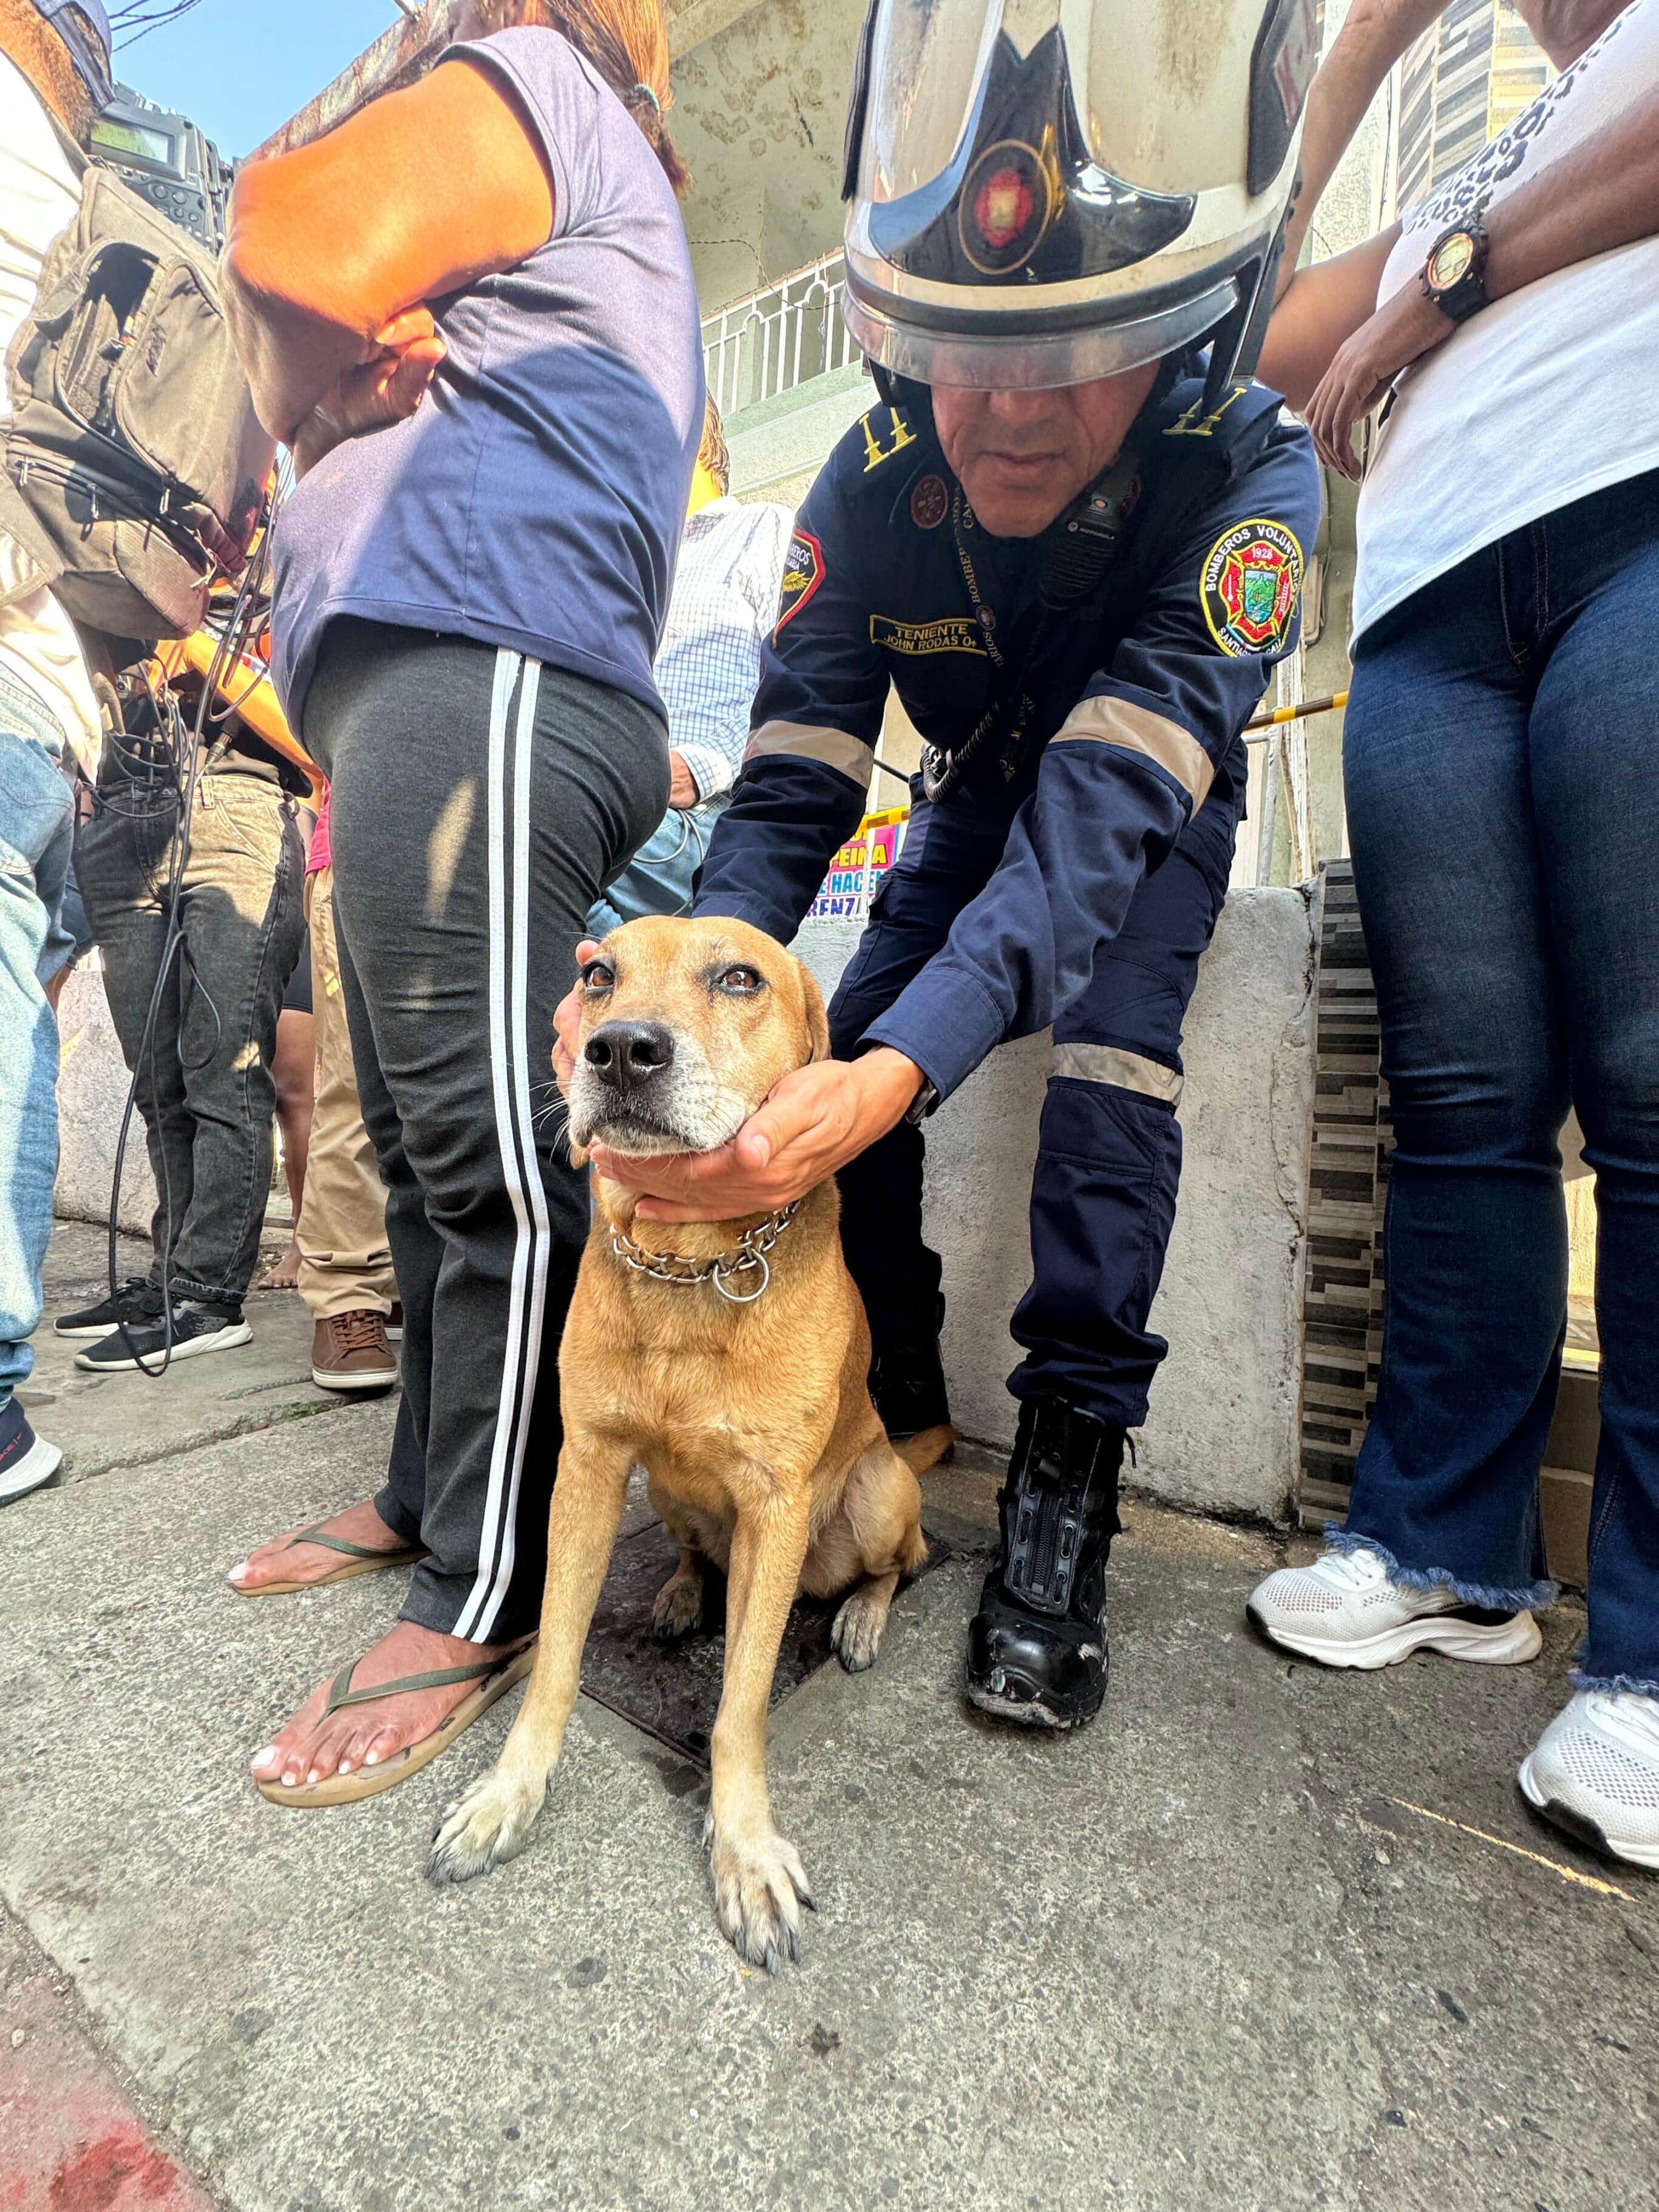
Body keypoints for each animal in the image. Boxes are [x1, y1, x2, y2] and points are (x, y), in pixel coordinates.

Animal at [429, 915, 946, 1973]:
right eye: (597, 974)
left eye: (740, 978)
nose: (620, 1049)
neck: (689, 1267)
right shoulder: (588, 1465)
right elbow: (555, 1657)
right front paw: (511, 1790)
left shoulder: (775, 1506)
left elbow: (739, 1706)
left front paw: (743, 1849)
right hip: (666, 1492)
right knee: (694, 1546)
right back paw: (679, 1589)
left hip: (876, 1493)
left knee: (901, 1562)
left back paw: (862, 1615)